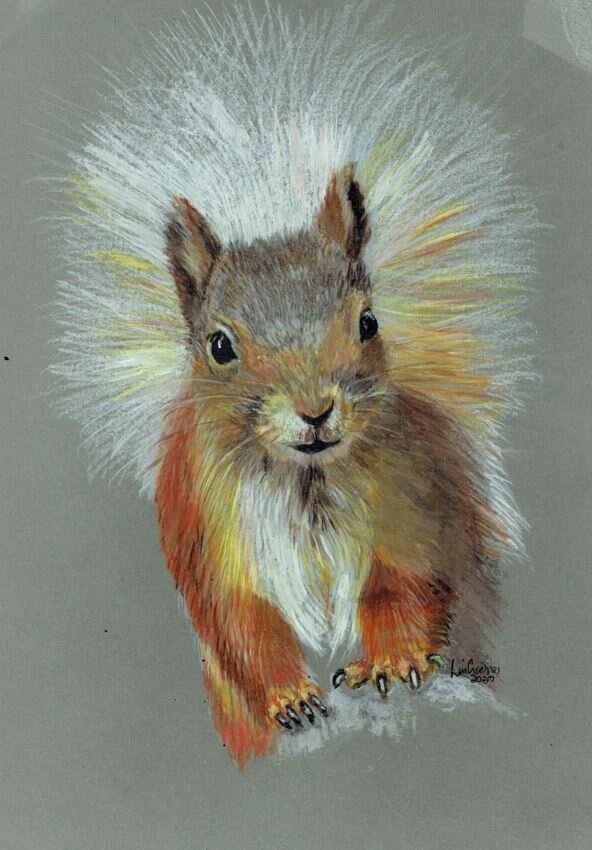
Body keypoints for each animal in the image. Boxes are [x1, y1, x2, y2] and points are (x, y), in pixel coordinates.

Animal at [51, 3, 537, 767]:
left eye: (368, 322)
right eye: (219, 346)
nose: (315, 411)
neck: (307, 483)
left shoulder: (413, 508)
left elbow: (404, 591)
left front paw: (391, 661)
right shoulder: (211, 529)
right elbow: (244, 624)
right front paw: (291, 697)